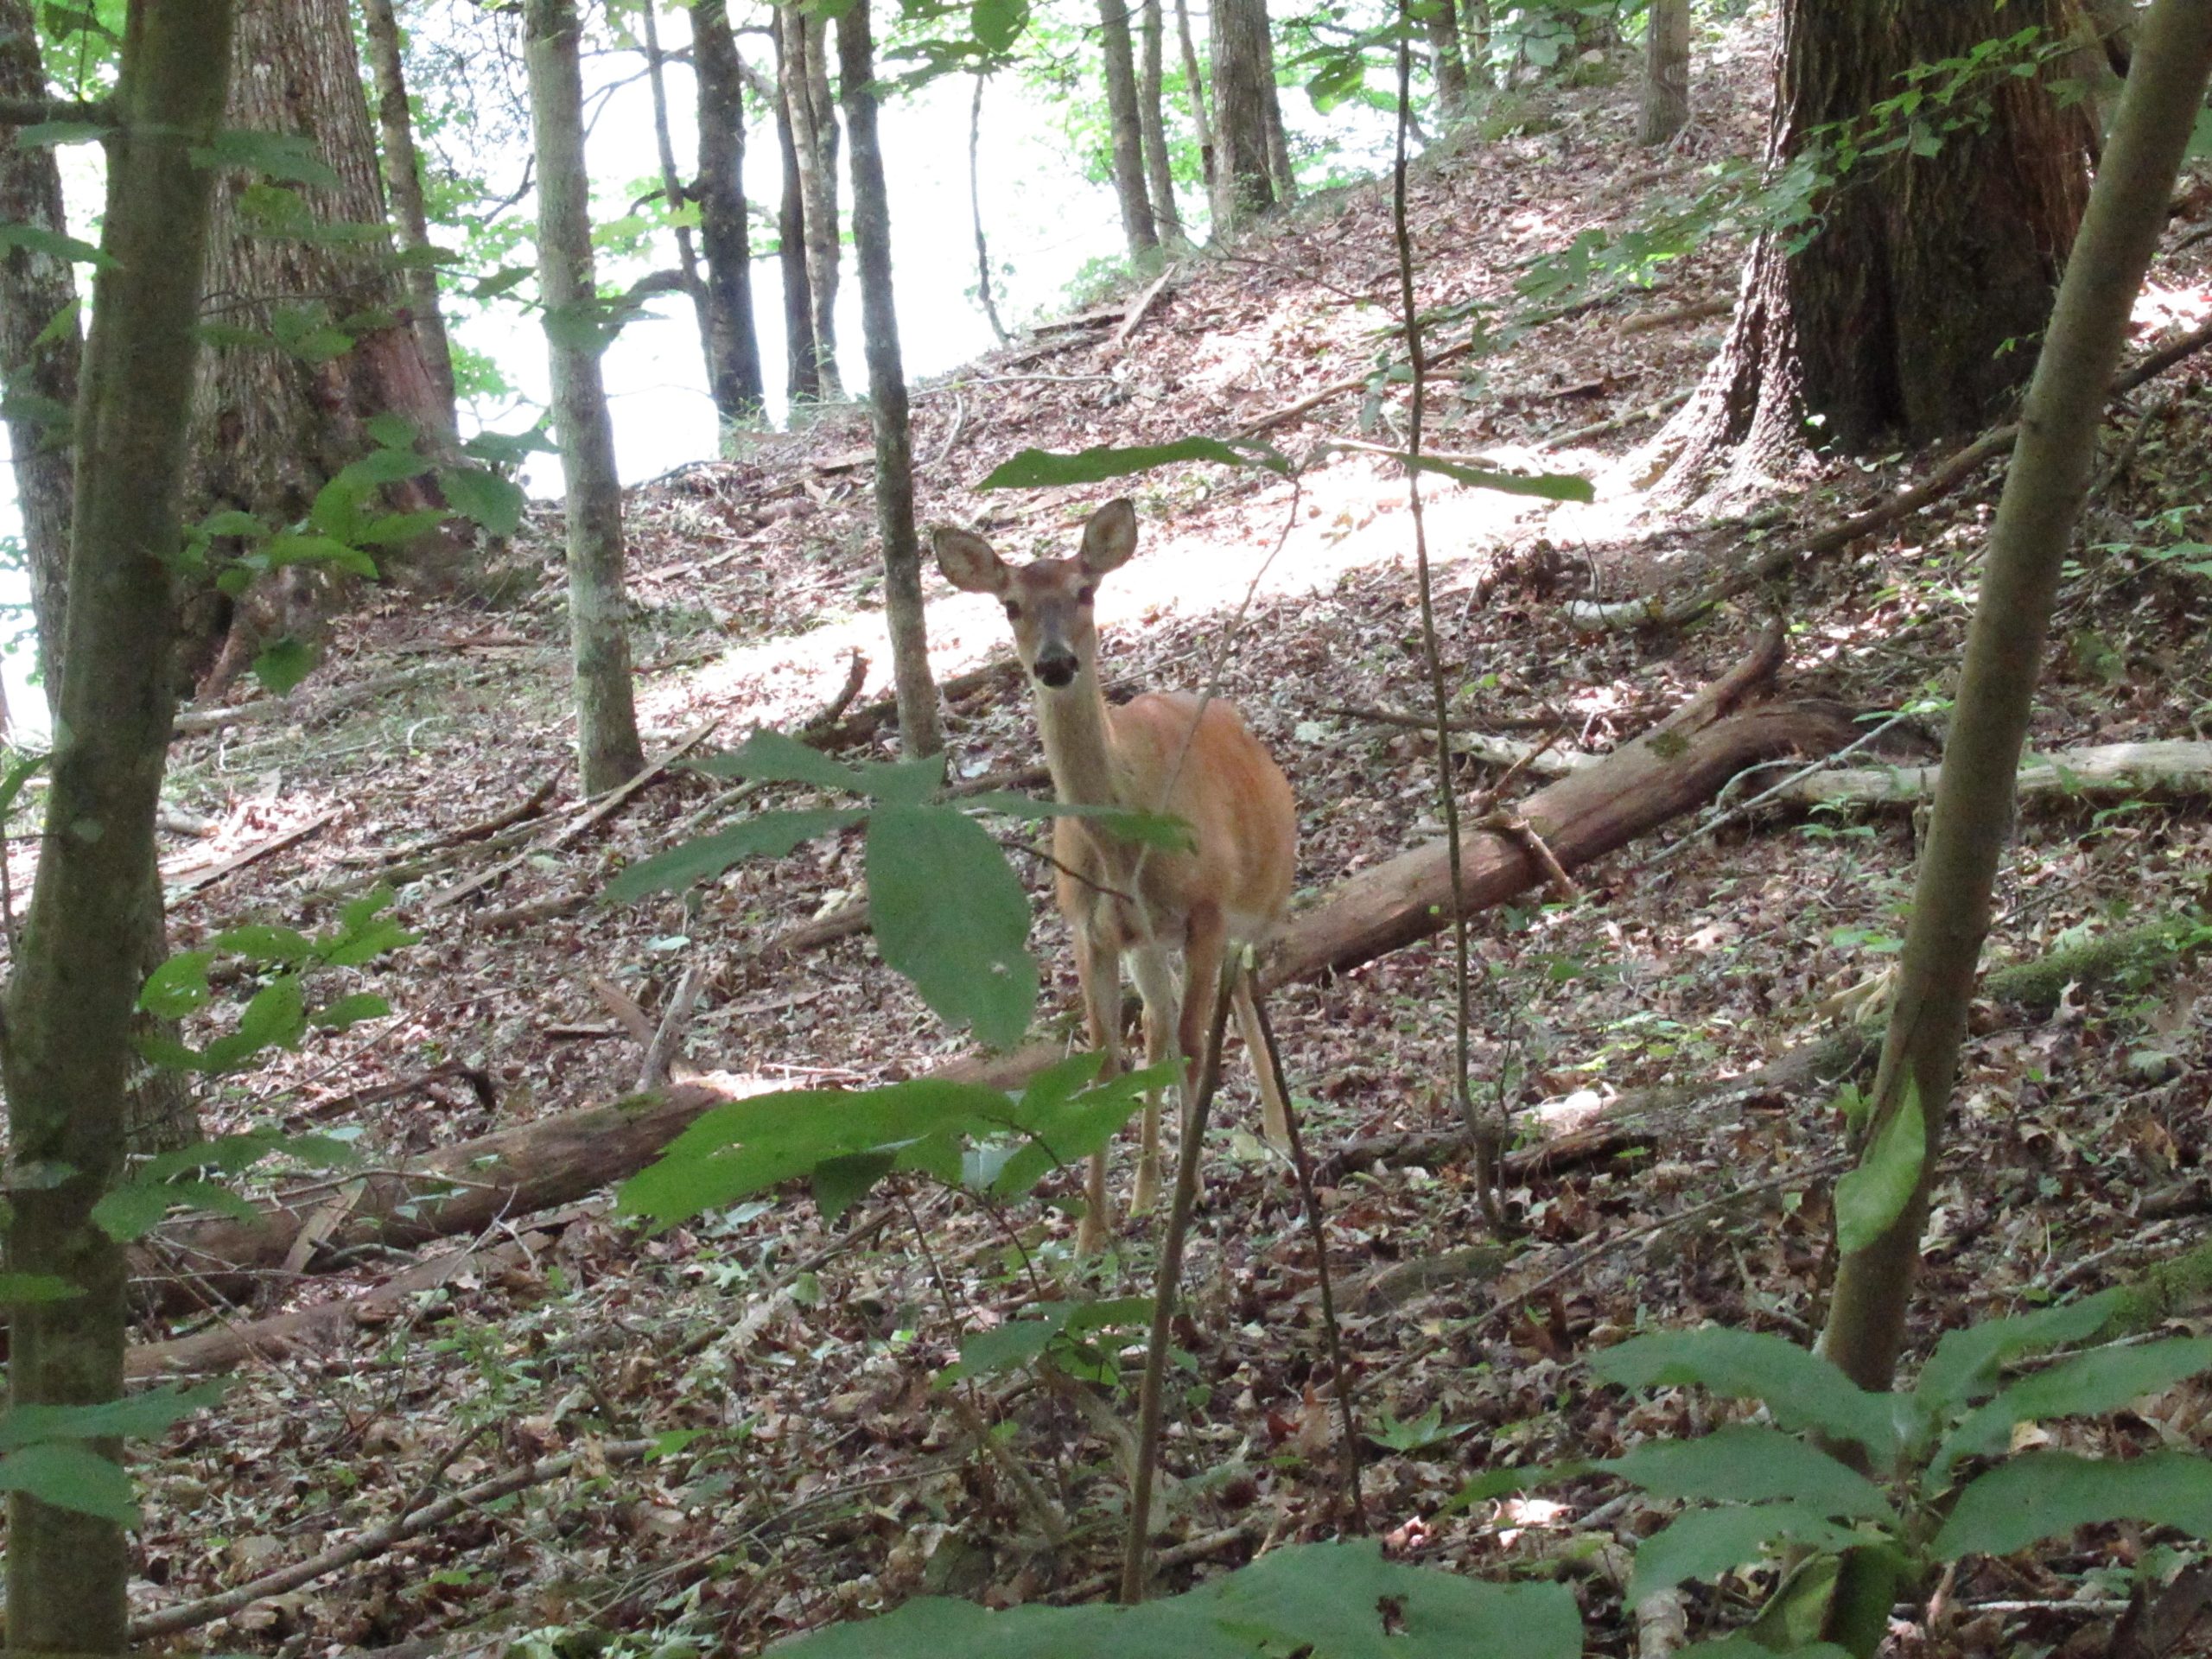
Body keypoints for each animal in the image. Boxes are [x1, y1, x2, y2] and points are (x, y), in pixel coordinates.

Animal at [932, 498, 1297, 1255]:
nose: (1055, 663)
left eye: (1085, 590)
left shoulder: (1207, 908)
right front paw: (1091, 1232)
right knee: (1158, 1021)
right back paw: (1148, 1190)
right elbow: (1106, 1061)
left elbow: (1196, 1043)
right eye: (1010, 604)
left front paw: (1193, 1192)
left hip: (1257, 902)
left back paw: (1275, 1141)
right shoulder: (1088, 930)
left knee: (1238, 999)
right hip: (1146, 943)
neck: (1124, 844)